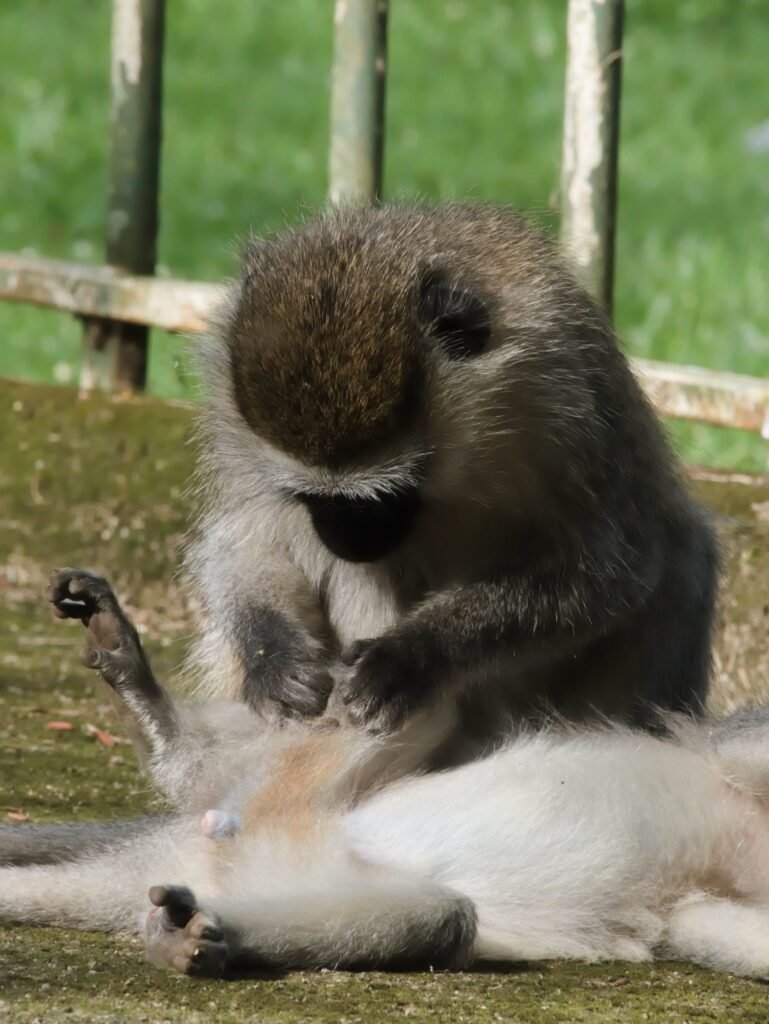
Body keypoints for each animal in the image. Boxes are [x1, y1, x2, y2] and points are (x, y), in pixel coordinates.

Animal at [2, 568, 769, 981]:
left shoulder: (707, 903)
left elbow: (706, 928)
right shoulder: (733, 744)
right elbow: (739, 750)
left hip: (287, 857)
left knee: (441, 918)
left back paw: (208, 936)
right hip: (288, 786)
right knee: (414, 698)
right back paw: (160, 724)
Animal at [185, 202, 719, 753]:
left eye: (384, 496)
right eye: (312, 497)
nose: (345, 539)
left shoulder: (569, 407)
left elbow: (607, 571)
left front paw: (410, 657)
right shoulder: (232, 425)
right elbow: (243, 543)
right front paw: (272, 658)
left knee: (685, 553)